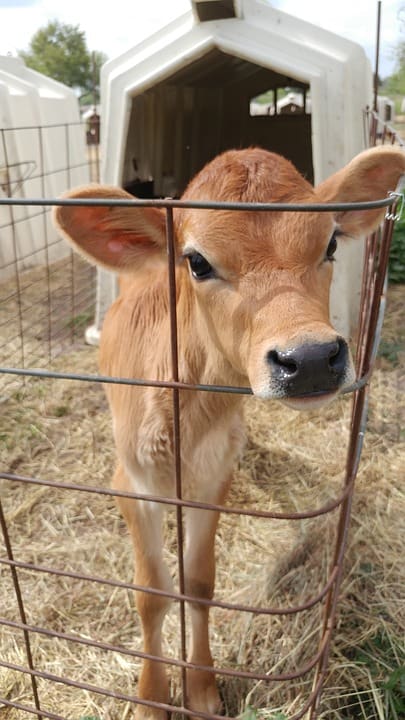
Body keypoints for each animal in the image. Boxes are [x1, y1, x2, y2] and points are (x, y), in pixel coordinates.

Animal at [54, 145, 404, 716]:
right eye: (196, 262)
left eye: (330, 243)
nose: (310, 358)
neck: (188, 419)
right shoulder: (130, 483)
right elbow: (151, 592)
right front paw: (152, 697)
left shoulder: (215, 476)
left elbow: (198, 581)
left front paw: (201, 687)